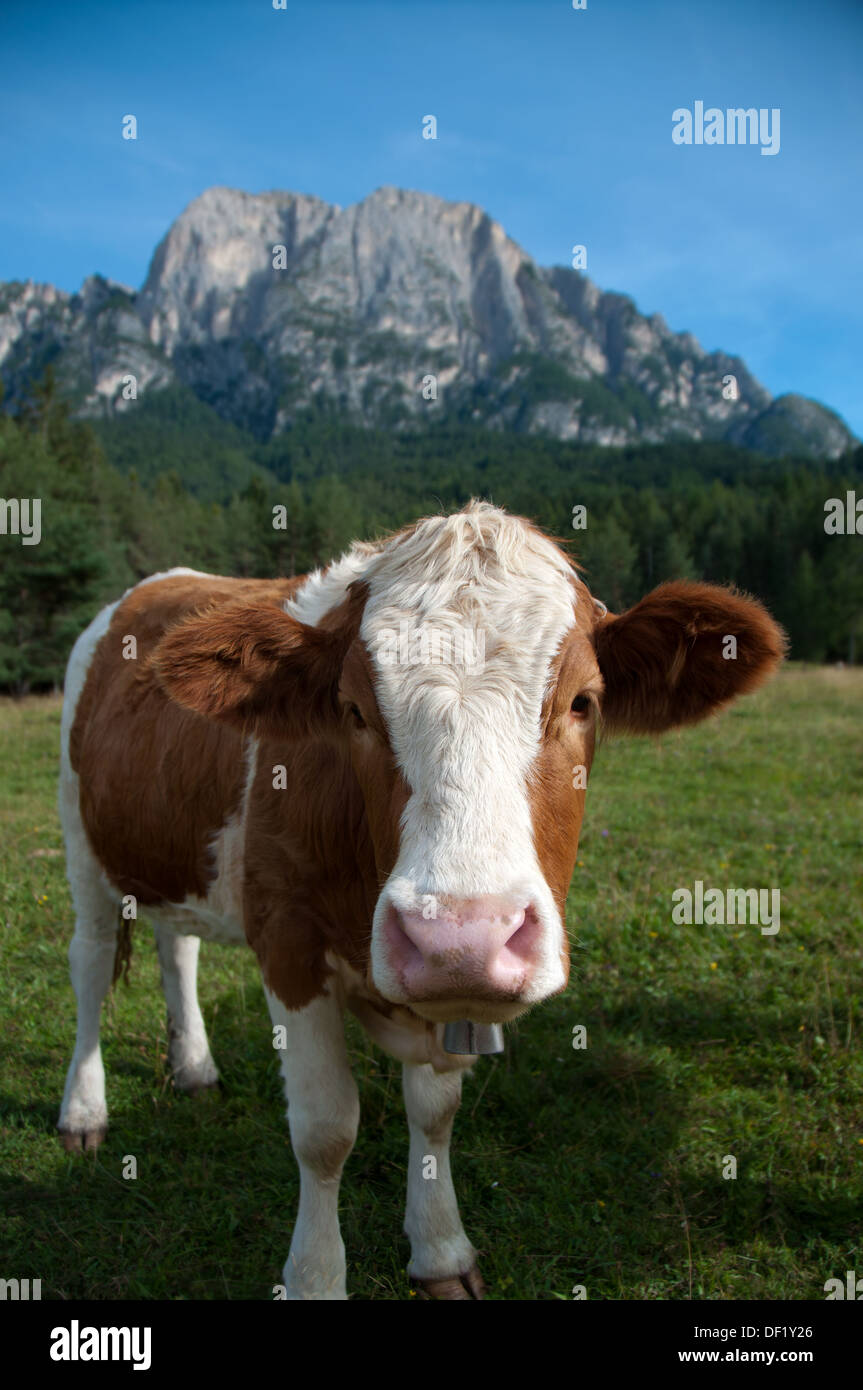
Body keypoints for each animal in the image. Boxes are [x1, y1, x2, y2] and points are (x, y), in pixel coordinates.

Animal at [52, 505, 778, 1295]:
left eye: (585, 702)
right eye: (352, 711)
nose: (461, 939)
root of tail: (162, 582)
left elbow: (434, 1111)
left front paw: (440, 1250)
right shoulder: (287, 936)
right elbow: (325, 1128)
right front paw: (315, 1276)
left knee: (175, 945)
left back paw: (193, 1069)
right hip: (82, 845)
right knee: (89, 967)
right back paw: (84, 1111)